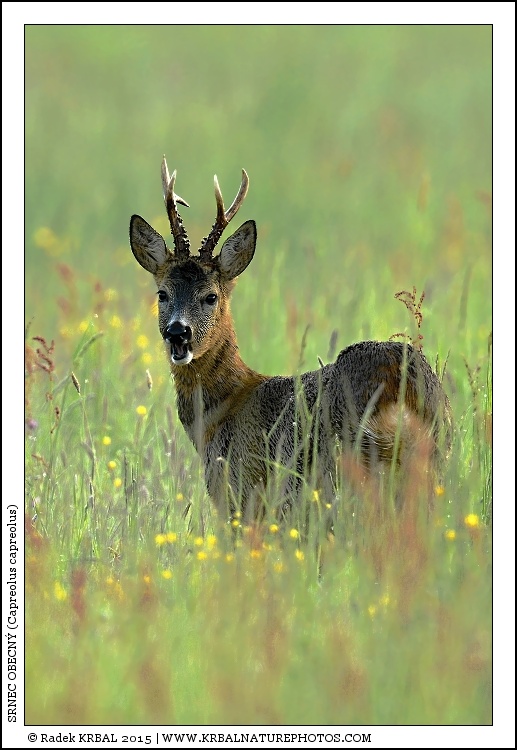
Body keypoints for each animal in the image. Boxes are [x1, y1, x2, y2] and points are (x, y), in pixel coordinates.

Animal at [130, 158, 452, 524]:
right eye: (162, 293)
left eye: (211, 296)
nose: (177, 332)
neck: (222, 411)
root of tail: (401, 380)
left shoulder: (238, 495)